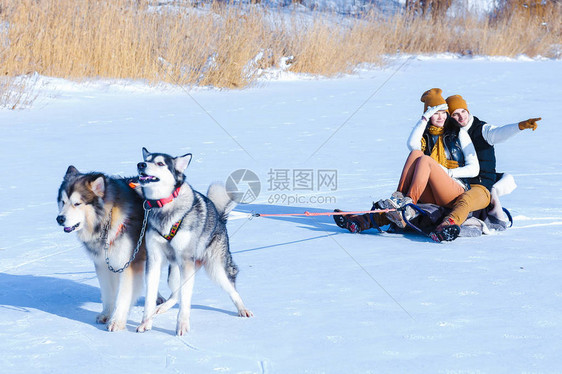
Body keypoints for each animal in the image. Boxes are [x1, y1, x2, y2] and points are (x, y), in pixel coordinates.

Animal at [136, 147, 252, 336]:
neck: (165, 205)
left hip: (215, 268)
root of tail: (220, 218)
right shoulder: (154, 260)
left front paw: (182, 325)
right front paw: (146, 322)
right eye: (147, 159)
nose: (141, 164)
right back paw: (162, 308)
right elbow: (150, 297)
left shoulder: (186, 261)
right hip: (174, 271)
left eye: (160, 163)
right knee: (175, 294)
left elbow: (185, 300)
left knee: (231, 287)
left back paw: (242, 309)